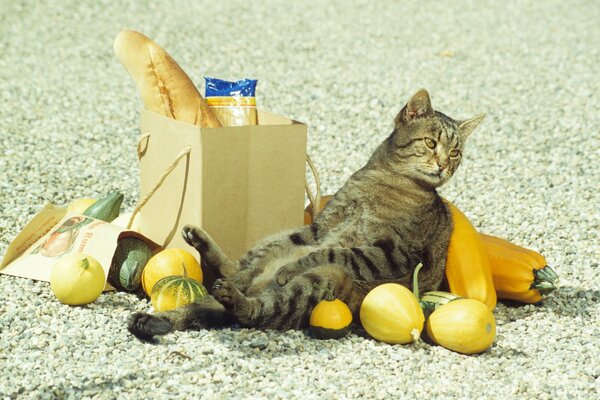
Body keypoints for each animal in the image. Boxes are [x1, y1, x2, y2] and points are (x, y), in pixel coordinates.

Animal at [127, 88, 482, 340]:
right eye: (431, 143)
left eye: (455, 152)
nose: (444, 165)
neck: (383, 179)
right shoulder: (319, 227)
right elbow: (313, 247)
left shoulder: (392, 253)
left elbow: (334, 252)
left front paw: (290, 268)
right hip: (276, 239)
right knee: (239, 270)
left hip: (318, 285)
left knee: (253, 312)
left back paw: (236, 294)